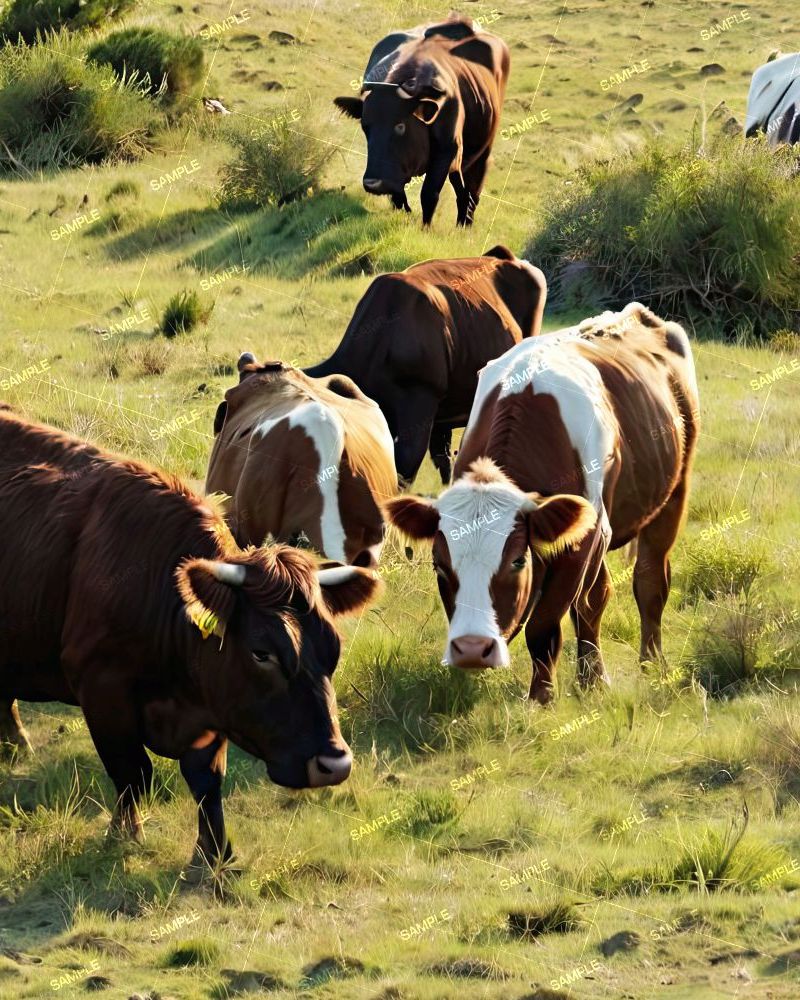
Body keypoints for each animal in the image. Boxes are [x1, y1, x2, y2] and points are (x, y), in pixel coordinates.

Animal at [0, 408, 380, 866]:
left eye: (334, 651)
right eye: (262, 652)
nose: (334, 765)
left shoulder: (212, 706)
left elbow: (205, 781)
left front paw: (214, 854)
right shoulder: (102, 691)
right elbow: (132, 772)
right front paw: (125, 834)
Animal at [334, 17, 510, 226]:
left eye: (400, 126)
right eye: (365, 126)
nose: (373, 183)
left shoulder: (446, 150)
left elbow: (429, 194)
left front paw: (425, 228)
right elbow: (398, 196)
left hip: (482, 153)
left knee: (473, 191)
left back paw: (465, 224)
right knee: (461, 189)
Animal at [385, 303, 699, 704]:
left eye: (517, 561)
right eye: (439, 565)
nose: (472, 648)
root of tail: (636, 314)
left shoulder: (583, 540)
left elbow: (544, 626)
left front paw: (540, 698)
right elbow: (580, 607)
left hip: (673, 493)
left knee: (649, 581)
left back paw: (650, 663)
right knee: (595, 599)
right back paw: (593, 677)